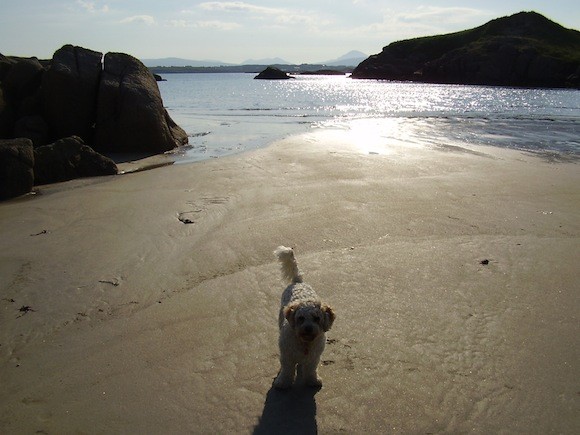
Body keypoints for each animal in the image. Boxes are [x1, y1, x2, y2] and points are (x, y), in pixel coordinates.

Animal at [272, 247, 336, 390]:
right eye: (300, 318)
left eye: (317, 318)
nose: (308, 328)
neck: (305, 342)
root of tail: (298, 281)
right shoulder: (287, 357)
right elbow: (287, 370)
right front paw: (283, 383)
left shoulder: (314, 358)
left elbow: (311, 369)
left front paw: (313, 380)